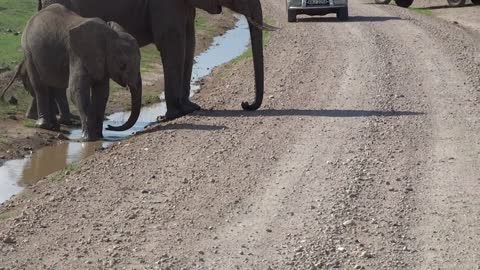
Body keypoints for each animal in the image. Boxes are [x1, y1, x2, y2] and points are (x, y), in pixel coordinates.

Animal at [20, 3, 142, 141]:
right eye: (123, 65)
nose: (109, 126)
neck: (108, 36)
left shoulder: (102, 62)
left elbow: (102, 93)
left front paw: (98, 137)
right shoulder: (77, 55)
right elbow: (77, 91)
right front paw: (88, 139)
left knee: (53, 86)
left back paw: (54, 127)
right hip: (29, 52)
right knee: (40, 86)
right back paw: (44, 126)